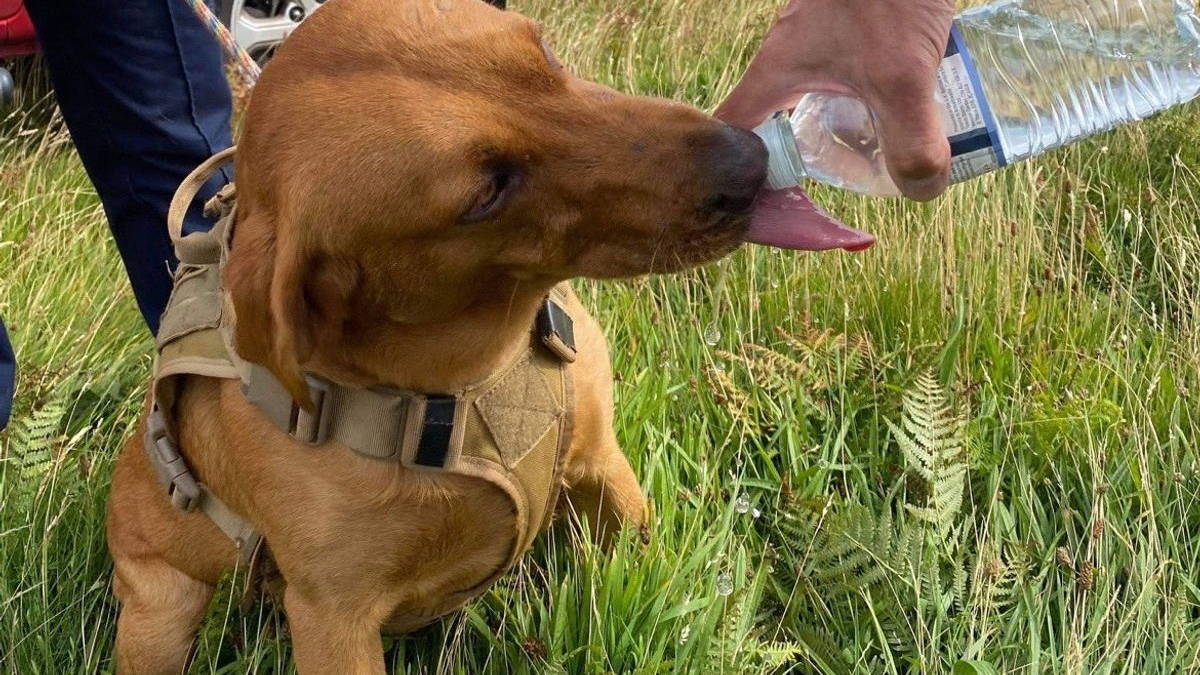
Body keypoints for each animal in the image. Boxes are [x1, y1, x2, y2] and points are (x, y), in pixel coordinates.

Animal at [108, 0, 763, 667]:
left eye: (547, 54)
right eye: (488, 192)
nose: (750, 161)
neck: (478, 374)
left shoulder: (604, 466)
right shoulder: (332, 620)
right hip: (159, 613)